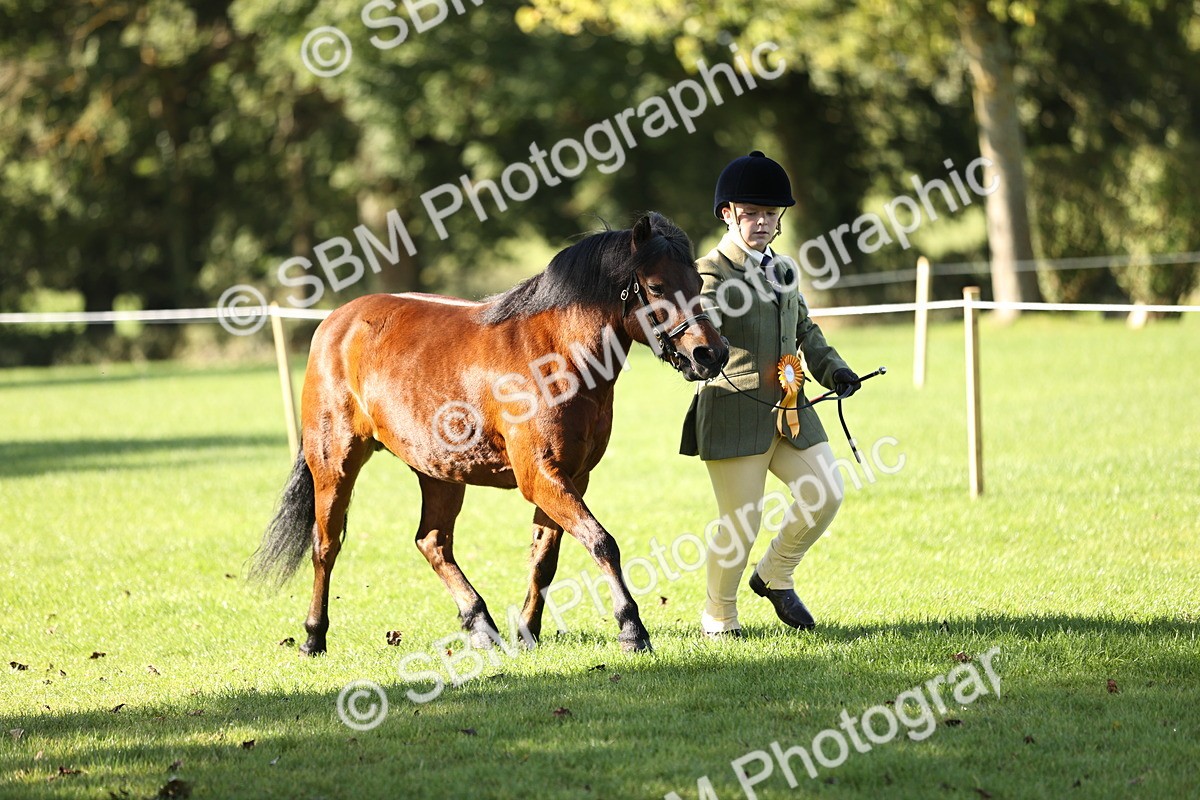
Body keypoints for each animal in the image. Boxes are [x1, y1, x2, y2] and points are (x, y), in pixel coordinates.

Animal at [250, 212, 729, 654]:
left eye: (697, 280)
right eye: (656, 287)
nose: (710, 353)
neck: (555, 356)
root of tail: (336, 322)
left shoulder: (570, 476)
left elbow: (545, 558)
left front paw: (527, 633)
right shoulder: (541, 476)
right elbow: (601, 542)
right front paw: (632, 629)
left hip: (439, 473)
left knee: (432, 542)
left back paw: (480, 624)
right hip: (335, 464)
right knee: (326, 546)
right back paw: (313, 636)